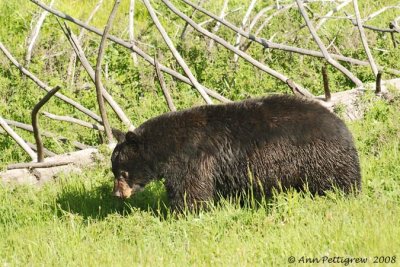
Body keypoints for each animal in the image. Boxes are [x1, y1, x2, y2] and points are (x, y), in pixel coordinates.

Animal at [111, 95, 360, 213]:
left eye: (123, 173)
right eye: (114, 171)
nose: (117, 194)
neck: (167, 147)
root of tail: (342, 124)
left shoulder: (192, 158)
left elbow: (190, 189)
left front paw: (180, 213)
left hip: (320, 157)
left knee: (338, 180)